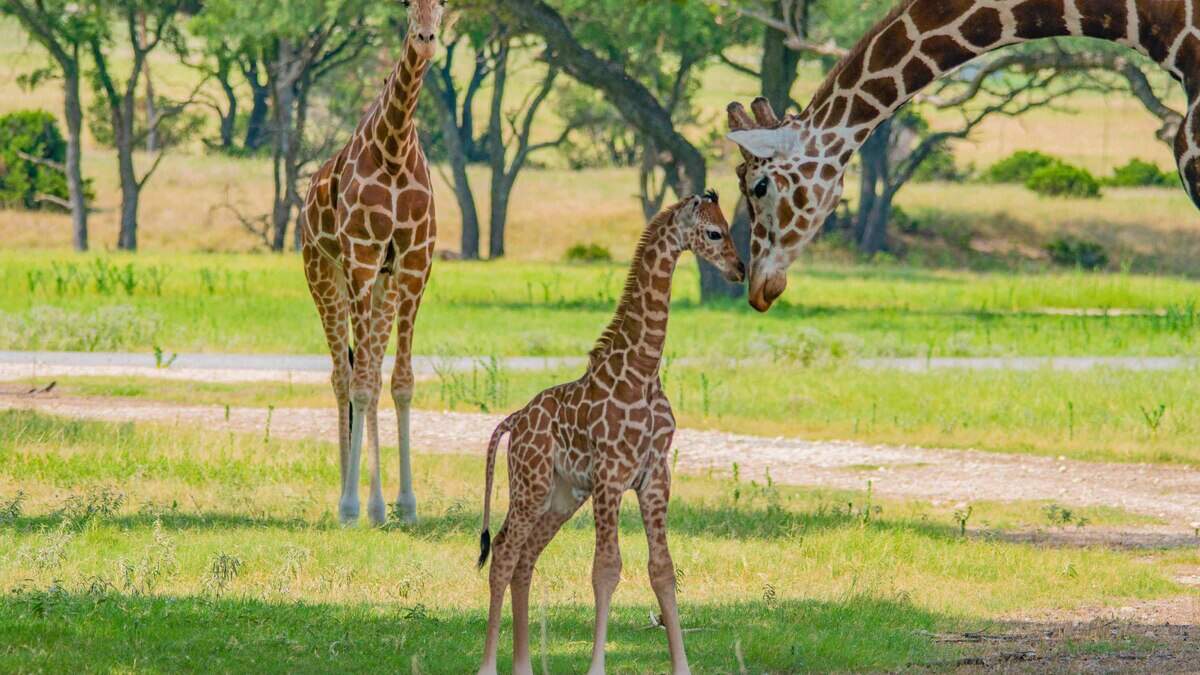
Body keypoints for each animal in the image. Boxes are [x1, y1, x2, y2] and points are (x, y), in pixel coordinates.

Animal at [300, 0, 446, 526]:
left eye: (443, 5)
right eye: (405, 5)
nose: (425, 39)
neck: (395, 148)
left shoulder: (414, 264)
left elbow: (400, 382)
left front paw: (406, 503)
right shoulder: (361, 257)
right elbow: (360, 383)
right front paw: (348, 505)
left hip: (382, 287)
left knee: (373, 374)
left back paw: (378, 506)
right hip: (323, 274)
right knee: (342, 377)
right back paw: (349, 502)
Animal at [474, 192, 745, 675]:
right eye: (714, 232)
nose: (739, 268)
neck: (643, 369)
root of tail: (513, 420)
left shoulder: (654, 475)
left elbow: (662, 570)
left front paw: (682, 666)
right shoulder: (611, 475)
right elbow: (606, 568)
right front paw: (596, 666)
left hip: (561, 496)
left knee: (525, 558)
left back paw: (524, 665)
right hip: (531, 484)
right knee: (504, 551)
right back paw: (488, 666)